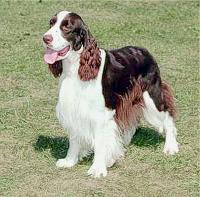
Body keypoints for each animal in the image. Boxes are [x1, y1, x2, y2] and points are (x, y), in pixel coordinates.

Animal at [42, 10, 180, 177]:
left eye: (67, 27)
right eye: (51, 23)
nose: (45, 38)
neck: (75, 69)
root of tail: (146, 51)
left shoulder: (101, 114)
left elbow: (101, 143)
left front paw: (98, 168)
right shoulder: (73, 108)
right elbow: (74, 138)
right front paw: (69, 161)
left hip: (151, 96)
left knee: (168, 116)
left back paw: (171, 146)